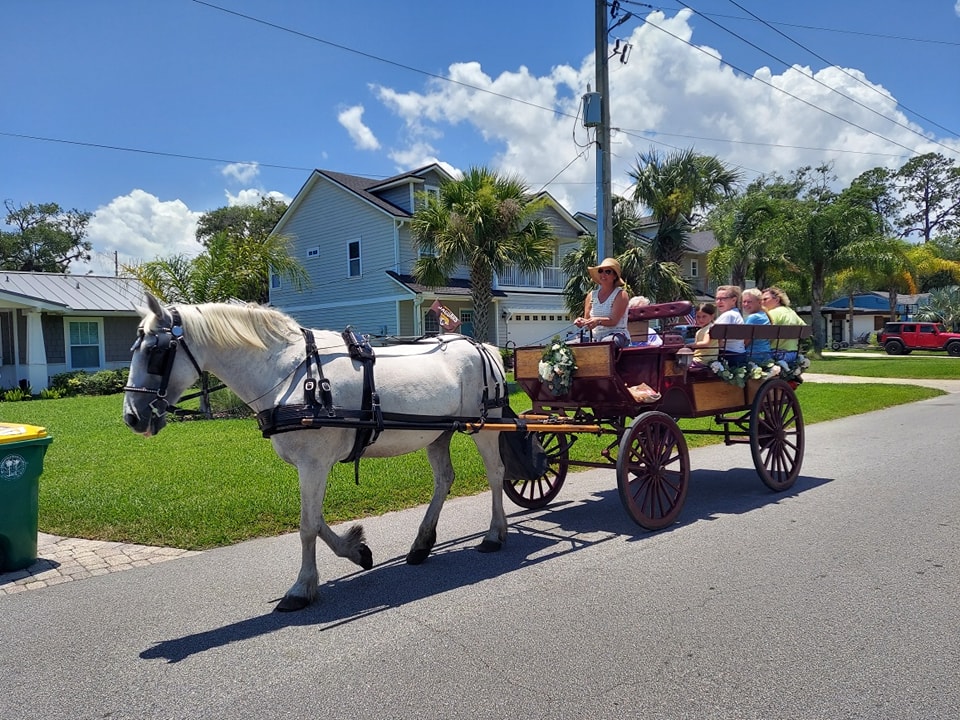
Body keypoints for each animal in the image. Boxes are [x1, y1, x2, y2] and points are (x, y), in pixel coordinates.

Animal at [124, 296, 510, 612]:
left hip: (485, 426)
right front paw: (356, 551)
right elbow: (316, 518)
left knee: (495, 475)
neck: (289, 373)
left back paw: (494, 535)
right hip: (438, 434)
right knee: (444, 479)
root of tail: (484, 346)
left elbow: (307, 525)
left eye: (156, 353)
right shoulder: (312, 466)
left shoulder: (313, 464)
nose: (132, 416)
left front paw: (301, 588)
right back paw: (421, 544)